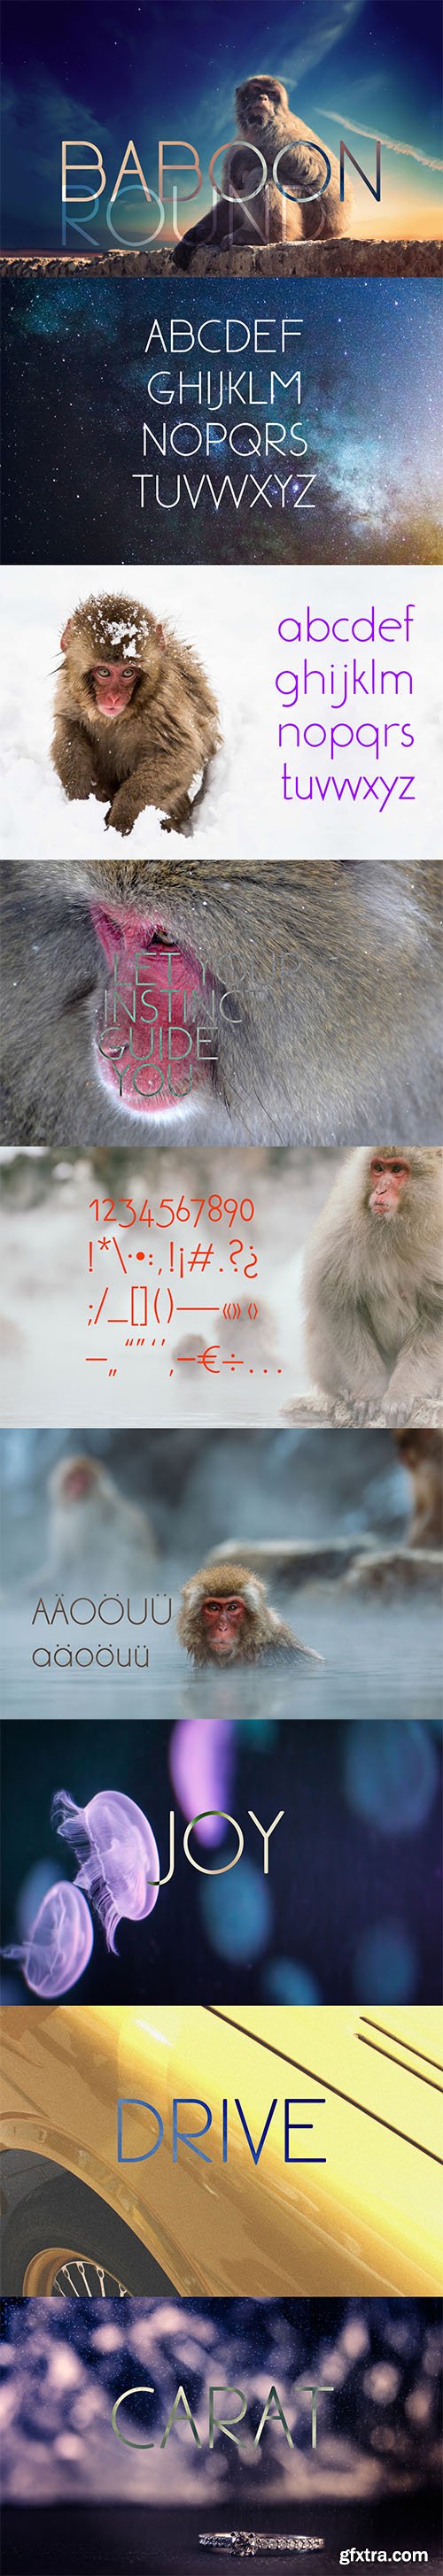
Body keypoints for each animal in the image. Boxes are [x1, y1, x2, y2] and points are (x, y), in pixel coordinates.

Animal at [51, 593, 221, 838]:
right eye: (104, 672)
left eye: (128, 672)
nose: (114, 698)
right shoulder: (70, 696)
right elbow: (69, 730)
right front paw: (80, 798)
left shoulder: (165, 703)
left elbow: (179, 755)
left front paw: (120, 820)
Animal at [175, 75, 349, 265]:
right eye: (257, 89)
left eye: (272, 94)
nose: (263, 98)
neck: (254, 129)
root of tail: (336, 228)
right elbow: (230, 199)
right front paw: (195, 235)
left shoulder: (279, 128)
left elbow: (313, 167)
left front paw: (245, 155)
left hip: (316, 217)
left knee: (263, 173)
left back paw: (266, 235)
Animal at [302, 1149, 443, 1410]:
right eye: (378, 1169)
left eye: (397, 1170)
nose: (380, 1191)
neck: (395, 1229)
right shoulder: (341, 1227)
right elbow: (336, 1303)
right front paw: (371, 1393)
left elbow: (438, 1314)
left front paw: (401, 1393)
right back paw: (343, 1388)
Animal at [394, 1429, 443, 1548]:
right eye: (400, 1447)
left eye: (405, 1448)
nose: (399, 1456)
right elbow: (419, 1507)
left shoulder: (433, 1471)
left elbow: (438, 1506)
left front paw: (416, 1541)